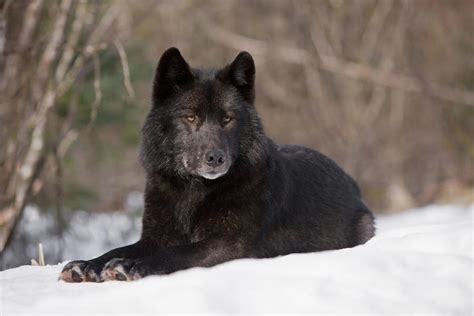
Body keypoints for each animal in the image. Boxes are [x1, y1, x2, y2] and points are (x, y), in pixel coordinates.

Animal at [61, 47, 376, 282]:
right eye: (190, 117)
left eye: (227, 118)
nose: (215, 158)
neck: (193, 191)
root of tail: (352, 182)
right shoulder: (155, 237)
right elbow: (119, 248)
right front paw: (87, 264)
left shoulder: (228, 245)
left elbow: (177, 253)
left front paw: (130, 266)